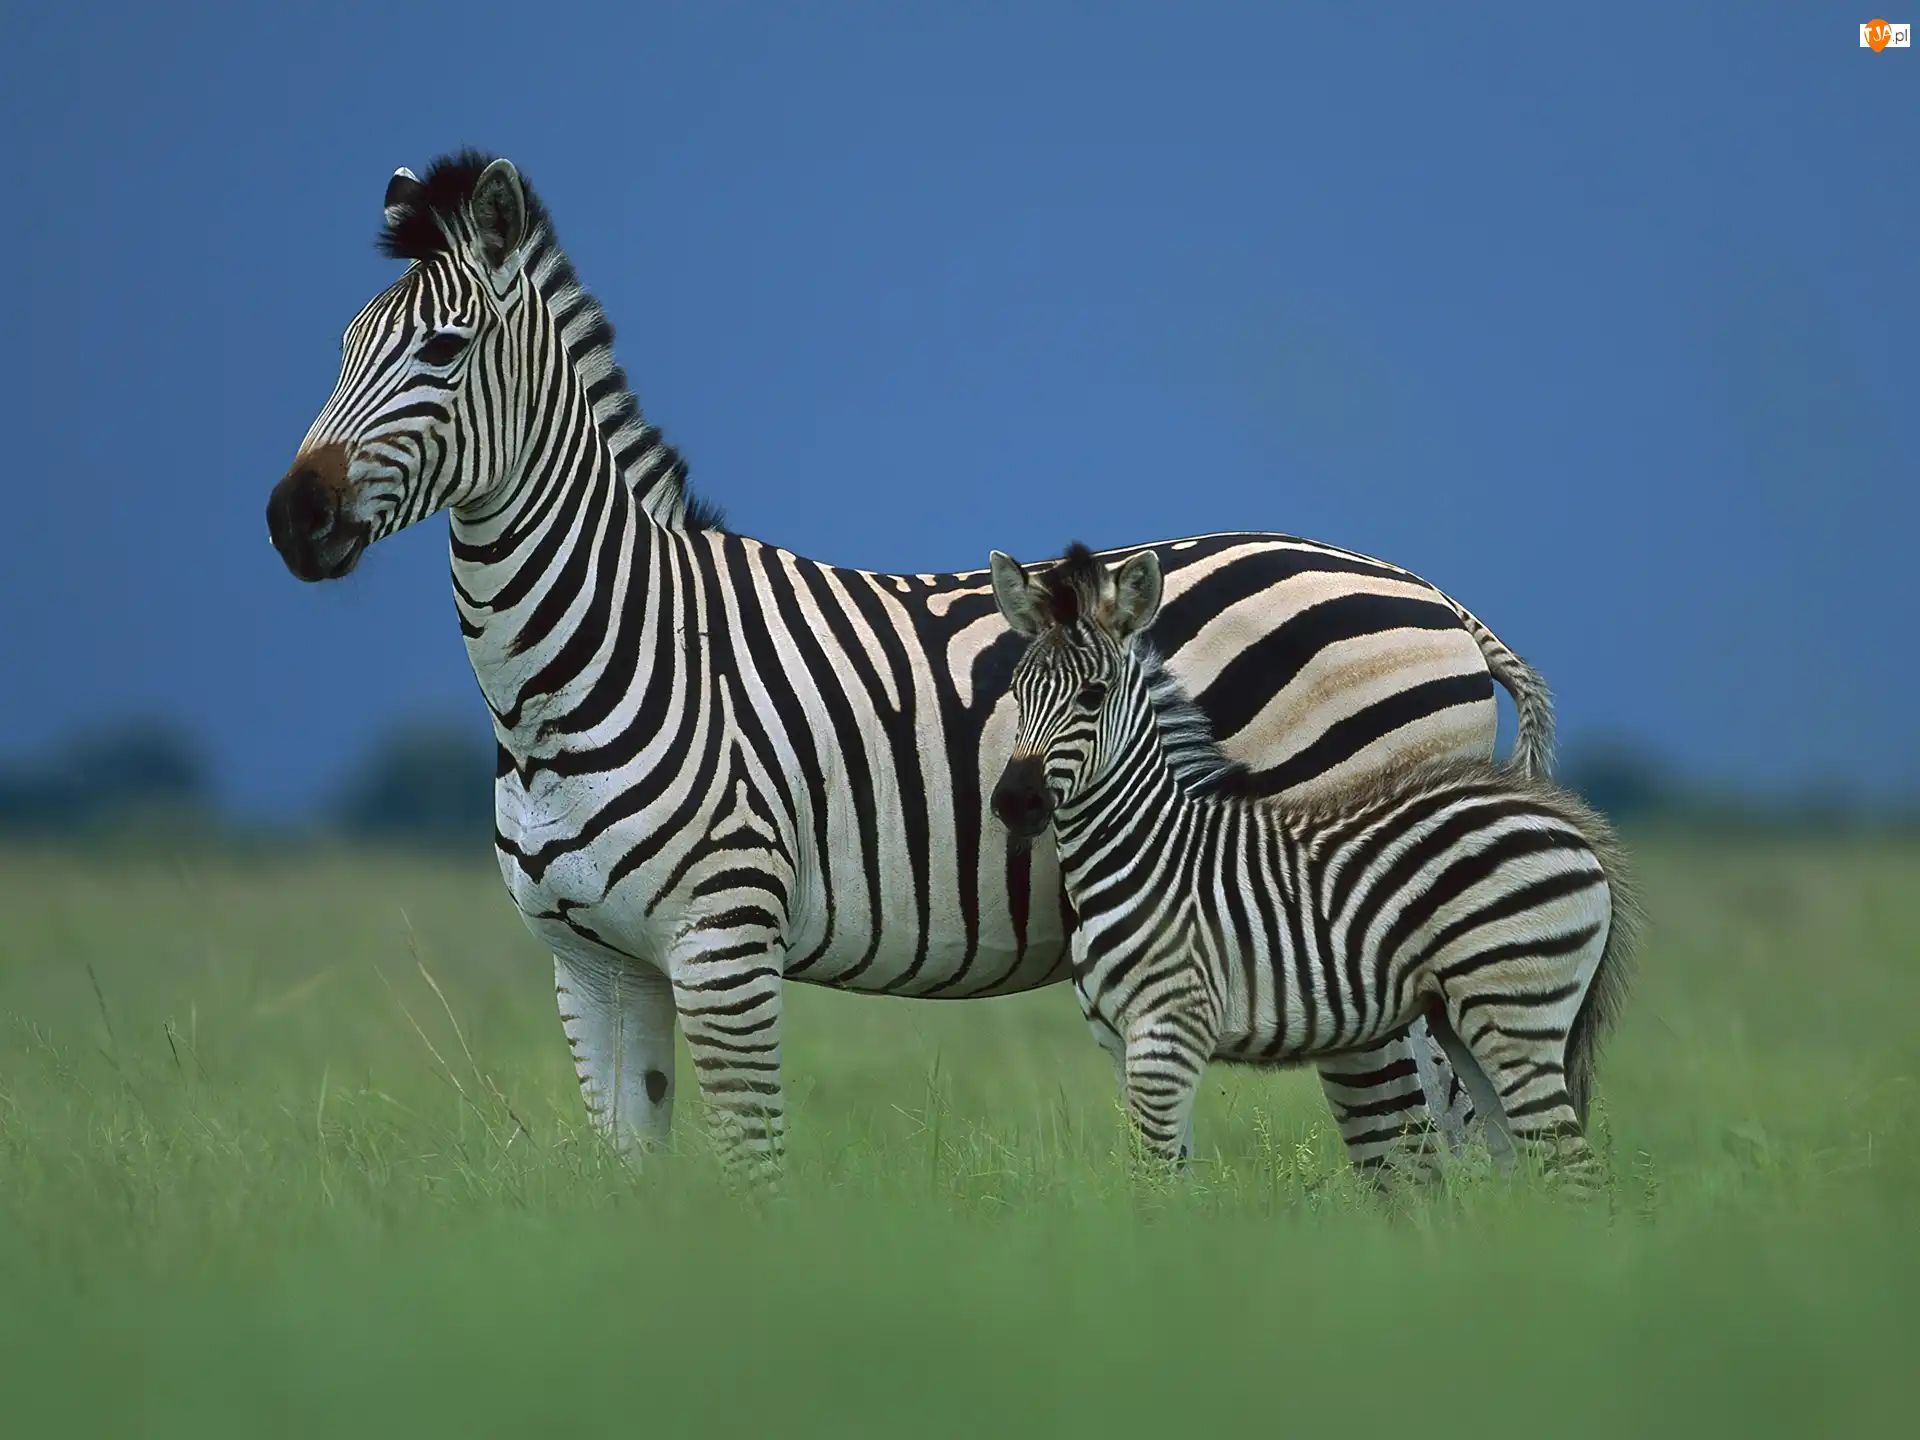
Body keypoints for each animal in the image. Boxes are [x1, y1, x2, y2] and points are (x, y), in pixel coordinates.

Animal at [264, 150, 1557, 1182]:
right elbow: (634, 1188)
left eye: (443, 349)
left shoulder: (725, 943)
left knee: (1422, 1154)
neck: (592, 661)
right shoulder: (592, 965)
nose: (291, 518)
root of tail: (1435, 598)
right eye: (342, 348)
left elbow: (752, 1176)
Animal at [986, 542, 1634, 1186]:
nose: (1015, 802)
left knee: (1569, 1167)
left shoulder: (1169, 1030)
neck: (1145, 849)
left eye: (1092, 696)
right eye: (1015, 691)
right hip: (1467, 1018)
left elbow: (1154, 1183)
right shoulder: (1123, 1042)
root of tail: (1566, 822)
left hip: (1513, 1008)